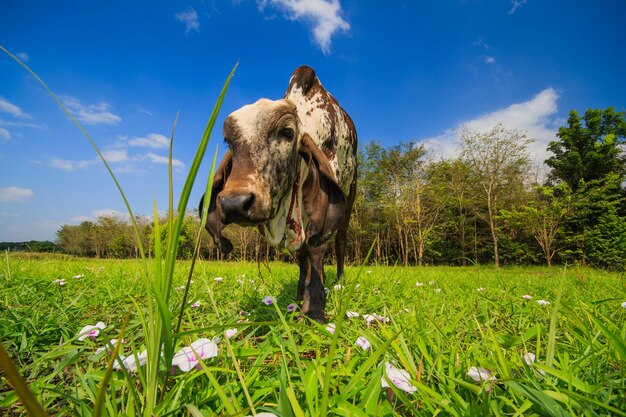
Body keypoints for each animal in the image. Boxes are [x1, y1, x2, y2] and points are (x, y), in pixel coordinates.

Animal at [200, 66, 356, 322]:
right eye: (228, 141)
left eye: (287, 132)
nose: (234, 203)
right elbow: (303, 253)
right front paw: (302, 294)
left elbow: (316, 248)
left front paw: (315, 310)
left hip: (351, 191)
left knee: (339, 239)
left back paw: (339, 282)